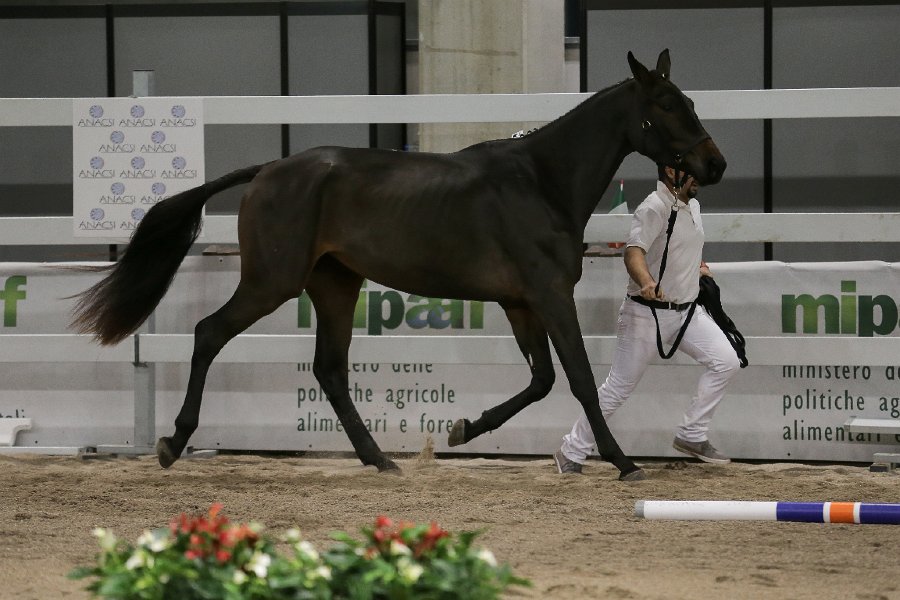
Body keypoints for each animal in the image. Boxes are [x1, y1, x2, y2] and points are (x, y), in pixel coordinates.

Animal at [71, 50, 725, 482]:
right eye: (667, 104)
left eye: (691, 101)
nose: (713, 165)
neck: (541, 182)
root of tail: (267, 171)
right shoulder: (548, 295)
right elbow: (582, 381)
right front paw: (624, 463)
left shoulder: (520, 302)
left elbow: (540, 380)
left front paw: (461, 430)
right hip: (272, 281)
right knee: (210, 333)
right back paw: (173, 442)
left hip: (335, 283)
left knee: (330, 369)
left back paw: (379, 458)